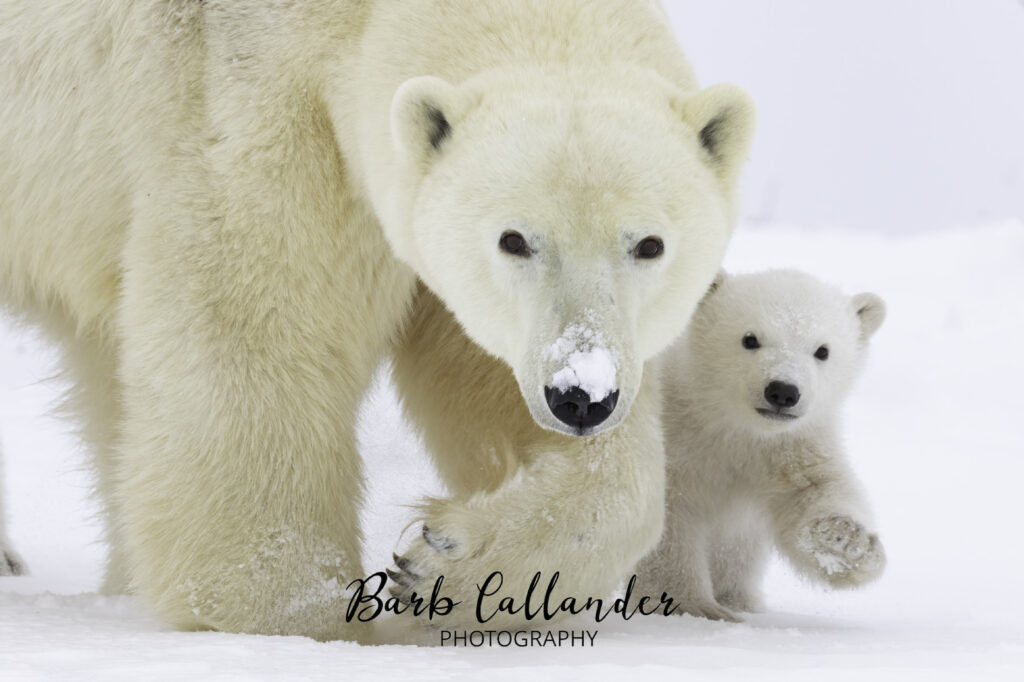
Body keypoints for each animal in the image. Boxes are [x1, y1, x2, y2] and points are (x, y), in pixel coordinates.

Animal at [0, 0, 754, 638]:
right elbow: (251, 338)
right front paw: (305, 614)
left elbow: (483, 377)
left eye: (649, 244)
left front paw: (446, 564)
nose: (580, 396)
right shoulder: (245, 101)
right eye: (514, 239)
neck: (352, 18)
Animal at [636, 270, 886, 621]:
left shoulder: (789, 447)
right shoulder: (671, 440)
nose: (783, 391)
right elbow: (665, 525)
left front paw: (843, 542)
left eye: (822, 350)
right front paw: (692, 606)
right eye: (750, 339)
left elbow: (814, 491)